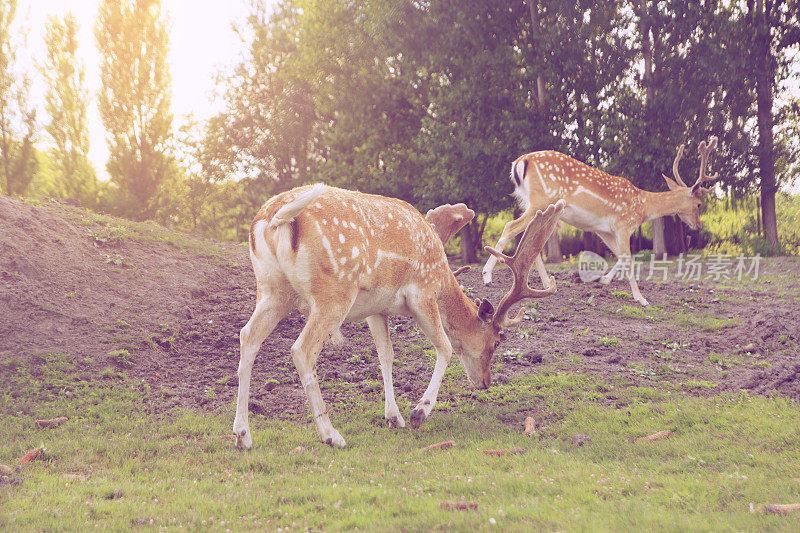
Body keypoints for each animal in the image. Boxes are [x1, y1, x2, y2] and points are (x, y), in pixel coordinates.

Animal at [233, 184, 564, 448]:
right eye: (496, 341)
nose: (486, 382)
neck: (443, 276)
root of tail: (275, 218)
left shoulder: (376, 308)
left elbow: (386, 355)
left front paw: (394, 417)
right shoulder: (423, 293)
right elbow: (445, 347)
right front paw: (419, 412)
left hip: (273, 290)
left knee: (247, 336)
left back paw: (242, 435)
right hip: (334, 292)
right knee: (302, 349)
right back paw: (331, 434)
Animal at [482, 135, 720, 306]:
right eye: (699, 204)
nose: (698, 226)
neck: (642, 207)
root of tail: (520, 162)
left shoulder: (603, 230)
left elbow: (622, 256)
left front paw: (603, 280)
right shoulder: (623, 223)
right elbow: (629, 257)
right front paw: (641, 298)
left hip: (534, 204)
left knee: (530, 238)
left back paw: (545, 283)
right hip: (542, 200)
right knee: (510, 226)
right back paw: (487, 275)